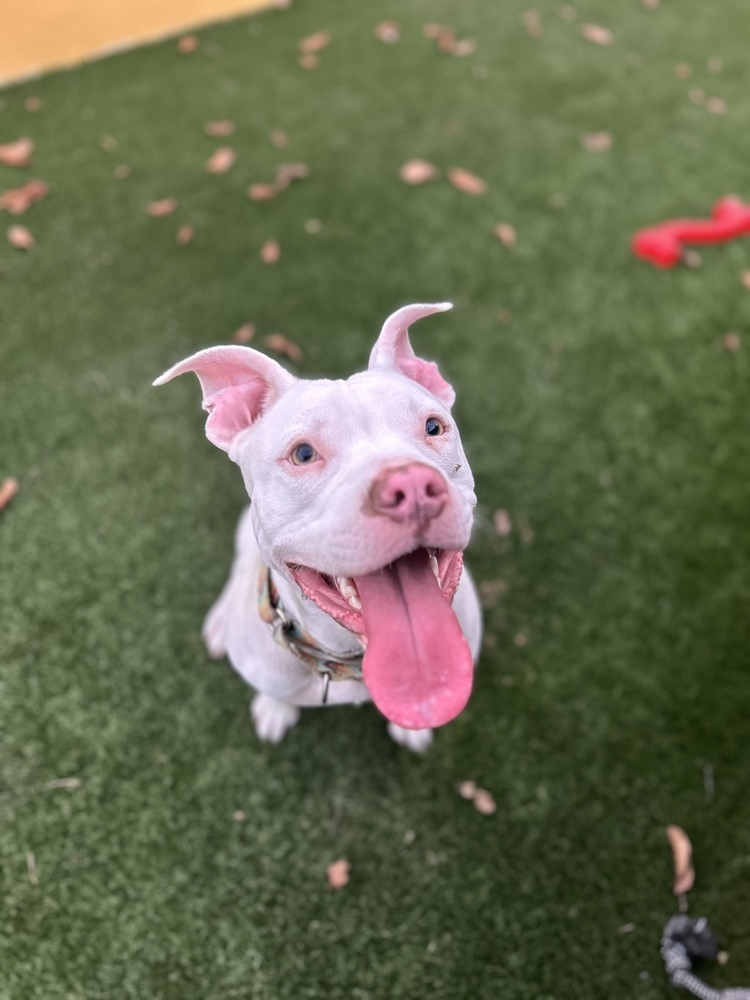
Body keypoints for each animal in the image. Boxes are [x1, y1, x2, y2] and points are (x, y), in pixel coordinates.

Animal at [154, 304, 482, 752]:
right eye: (304, 454)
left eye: (434, 427)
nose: (412, 487)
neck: (349, 659)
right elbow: (275, 692)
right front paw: (275, 710)